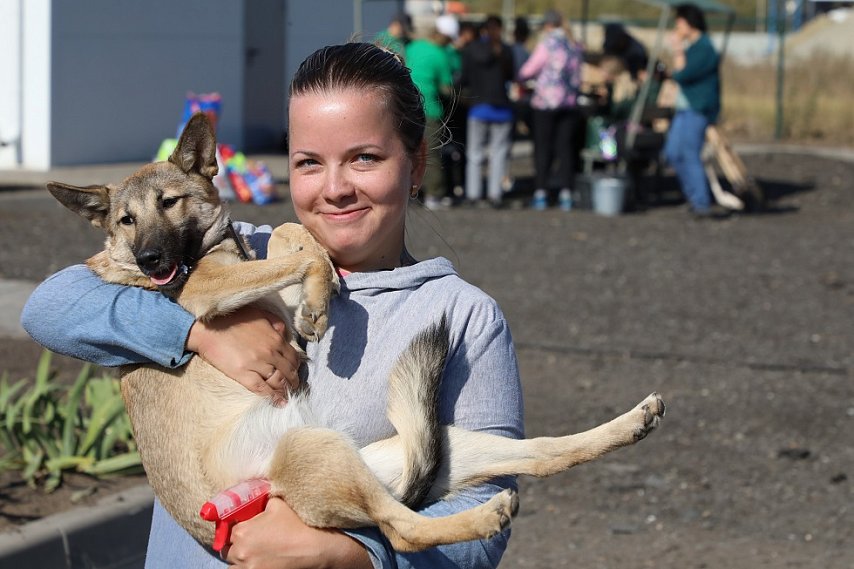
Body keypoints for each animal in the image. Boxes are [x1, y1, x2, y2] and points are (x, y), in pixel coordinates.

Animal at [46, 111, 668, 552]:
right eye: (125, 220)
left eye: (170, 202)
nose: (151, 262)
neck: (206, 251)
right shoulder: (204, 291)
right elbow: (300, 252)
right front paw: (322, 296)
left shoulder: (251, 278)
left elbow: (293, 234)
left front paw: (319, 291)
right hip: (321, 453)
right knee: (402, 531)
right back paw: (487, 512)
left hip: (434, 446)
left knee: (536, 456)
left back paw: (632, 423)